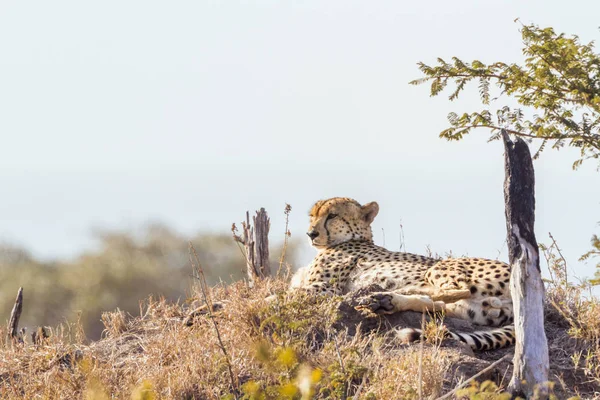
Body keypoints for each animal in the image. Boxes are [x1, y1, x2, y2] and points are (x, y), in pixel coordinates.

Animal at [290, 197, 516, 350]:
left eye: (332, 216)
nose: (311, 233)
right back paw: (385, 300)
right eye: (312, 216)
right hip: (473, 311)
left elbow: (288, 294)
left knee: (458, 289)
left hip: (442, 266)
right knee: (440, 305)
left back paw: (391, 292)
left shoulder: (326, 287)